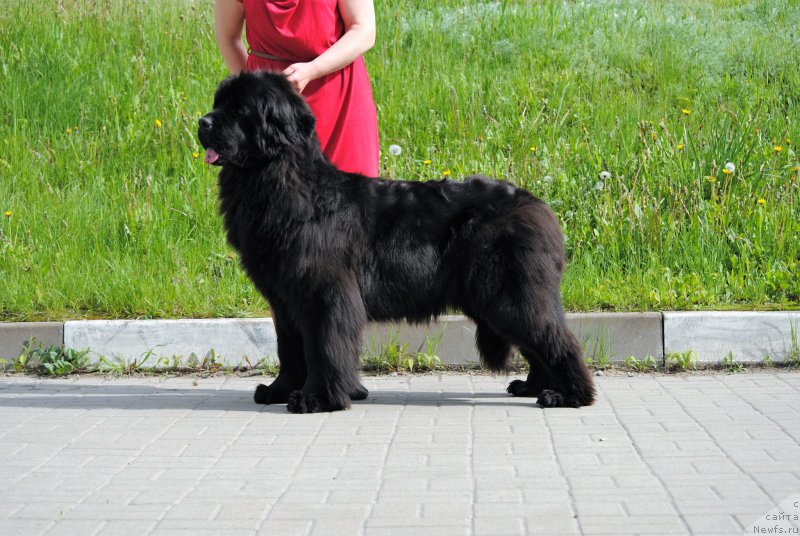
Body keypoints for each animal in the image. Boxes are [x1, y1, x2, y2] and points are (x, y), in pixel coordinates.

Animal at [198, 71, 592, 412]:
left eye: (240, 110)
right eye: (218, 103)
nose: (202, 122)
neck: (285, 181)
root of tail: (539, 206)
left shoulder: (325, 294)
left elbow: (324, 348)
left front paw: (317, 399)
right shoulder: (285, 300)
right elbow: (291, 351)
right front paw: (280, 390)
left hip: (509, 295)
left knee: (555, 338)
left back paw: (570, 395)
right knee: (538, 342)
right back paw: (535, 386)